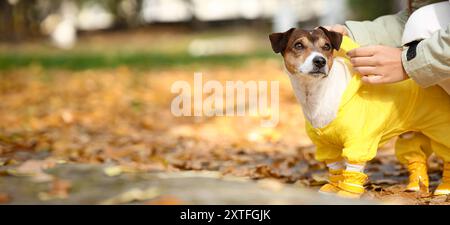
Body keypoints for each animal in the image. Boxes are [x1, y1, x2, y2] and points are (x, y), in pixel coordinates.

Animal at [268, 27, 450, 198]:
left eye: (326, 46)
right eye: (298, 45)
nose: (320, 61)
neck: (317, 94)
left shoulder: (359, 142)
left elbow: (353, 169)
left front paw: (347, 193)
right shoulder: (326, 146)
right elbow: (335, 167)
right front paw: (333, 187)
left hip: (441, 128)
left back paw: (444, 188)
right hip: (410, 134)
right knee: (415, 156)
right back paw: (415, 186)